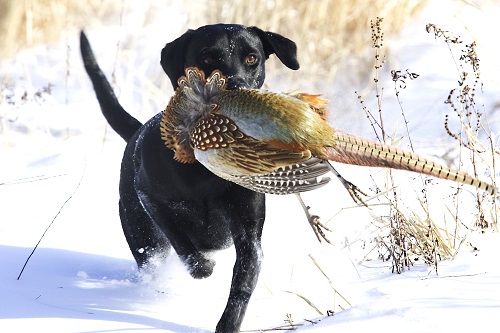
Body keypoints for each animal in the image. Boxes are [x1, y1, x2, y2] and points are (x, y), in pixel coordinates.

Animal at [81, 24, 298, 332]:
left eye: (251, 58)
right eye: (207, 58)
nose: (237, 87)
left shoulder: (248, 231)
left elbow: (243, 281)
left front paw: (228, 324)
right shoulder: (152, 200)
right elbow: (182, 243)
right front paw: (203, 267)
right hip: (139, 229)